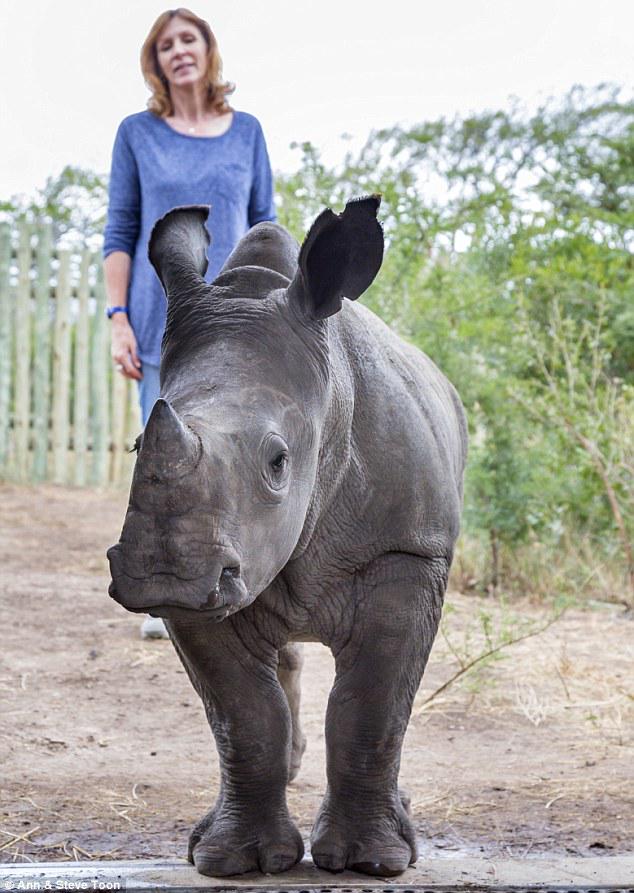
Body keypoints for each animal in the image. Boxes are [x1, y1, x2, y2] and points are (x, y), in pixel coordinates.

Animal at [107, 197, 467, 878]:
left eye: (278, 463)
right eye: (138, 447)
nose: (162, 574)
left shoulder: (410, 548)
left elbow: (371, 707)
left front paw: (370, 861)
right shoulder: (211, 574)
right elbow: (245, 715)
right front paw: (234, 860)